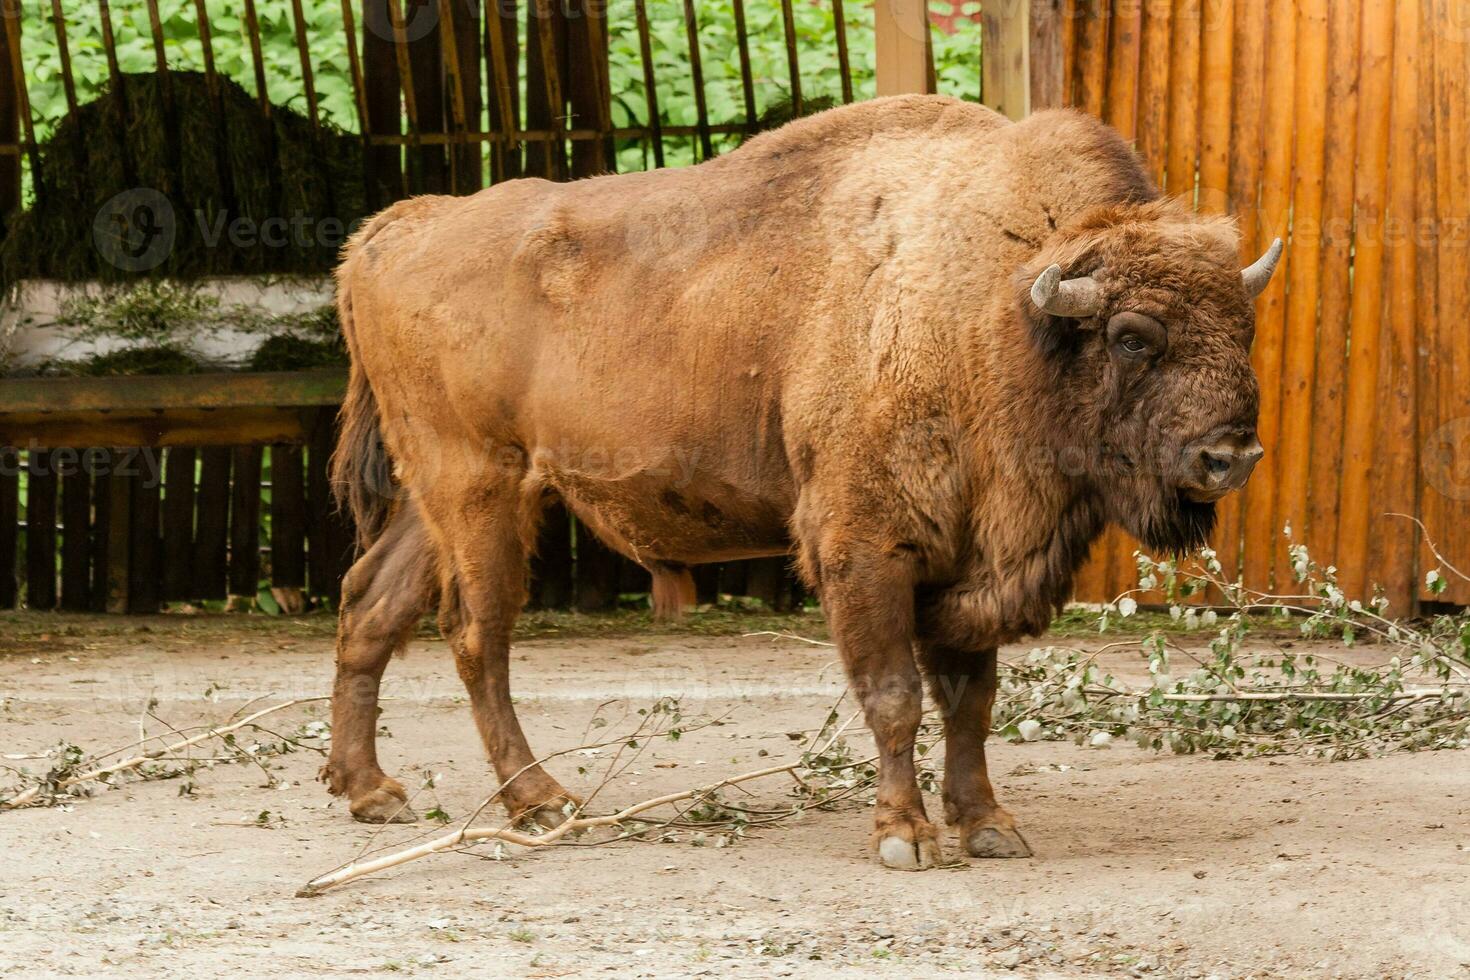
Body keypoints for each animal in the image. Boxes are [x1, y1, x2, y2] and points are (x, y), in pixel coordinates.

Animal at [318, 95, 1275, 869]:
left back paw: (370, 791)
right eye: (1132, 336)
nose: (1229, 457)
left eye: (1244, 327)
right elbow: (895, 697)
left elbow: (970, 701)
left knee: (369, 605)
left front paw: (989, 827)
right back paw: (540, 801)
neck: (995, 310)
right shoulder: (866, 547)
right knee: (477, 636)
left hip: (429, 498)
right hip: (481, 487)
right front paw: (904, 838)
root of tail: (391, 231)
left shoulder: (969, 559)